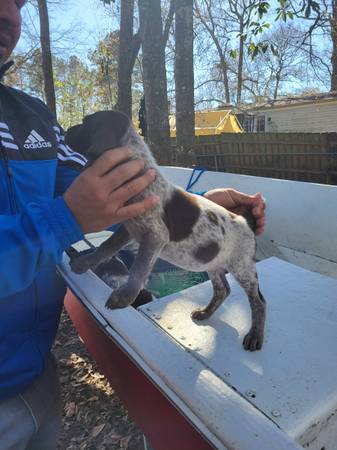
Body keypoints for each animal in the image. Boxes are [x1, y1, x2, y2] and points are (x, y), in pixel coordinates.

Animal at [67, 110, 266, 350]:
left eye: (85, 123)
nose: (66, 131)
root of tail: (246, 221)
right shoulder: (128, 228)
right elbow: (106, 247)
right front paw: (85, 263)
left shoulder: (154, 236)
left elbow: (138, 269)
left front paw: (124, 296)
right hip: (213, 262)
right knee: (222, 290)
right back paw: (205, 312)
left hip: (242, 267)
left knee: (258, 301)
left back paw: (255, 335)